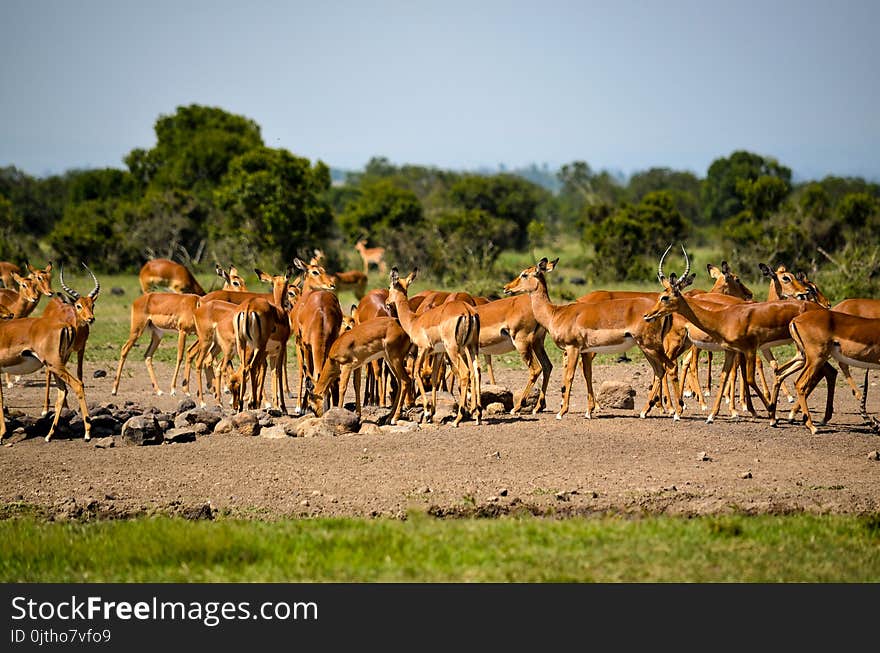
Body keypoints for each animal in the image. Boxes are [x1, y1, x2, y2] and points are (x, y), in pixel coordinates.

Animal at [386, 268, 482, 426]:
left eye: (390, 287)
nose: (387, 302)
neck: (414, 321)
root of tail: (467, 311)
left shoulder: (422, 349)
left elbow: (417, 372)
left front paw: (426, 411)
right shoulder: (438, 352)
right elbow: (435, 376)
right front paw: (432, 412)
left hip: (454, 349)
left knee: (465, 373)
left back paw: (458, 419)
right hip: (472, 347)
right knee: (476, 371)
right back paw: (478, 415)